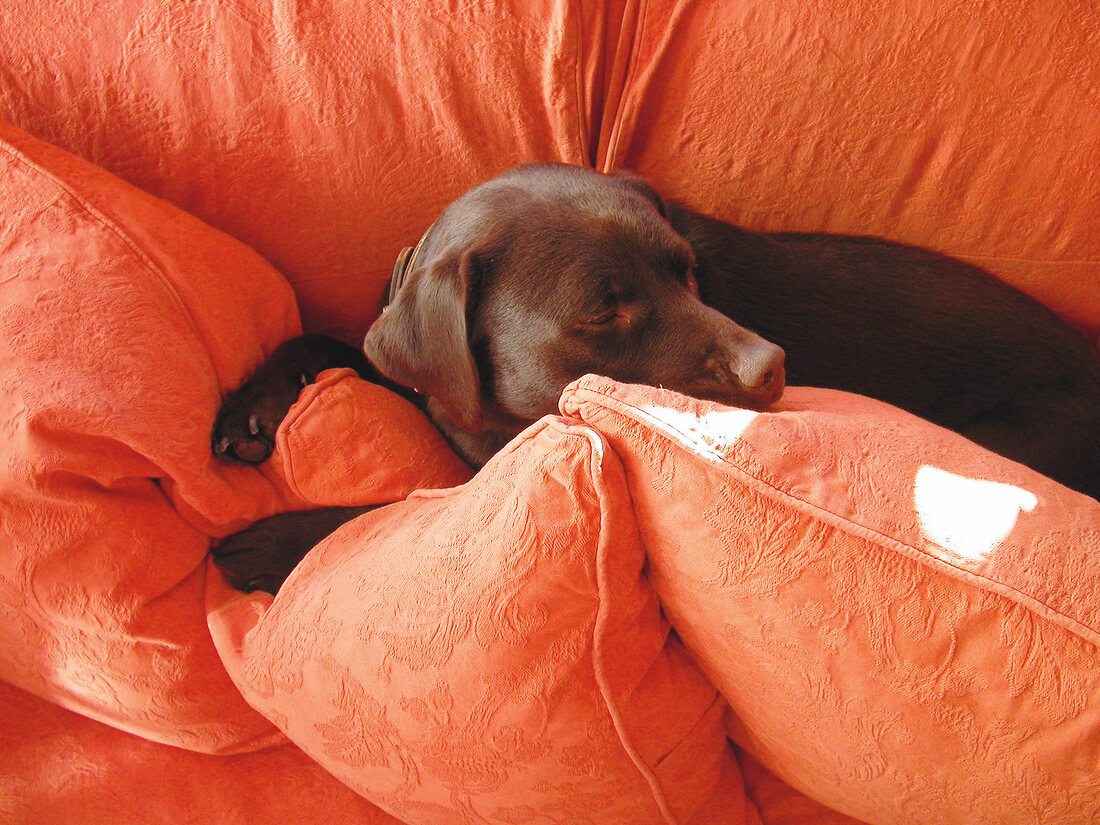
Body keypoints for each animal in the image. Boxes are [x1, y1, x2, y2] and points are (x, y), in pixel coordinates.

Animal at [212, 159, 1100, 594]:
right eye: (604, 310)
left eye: (687, 271)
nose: (773, 365)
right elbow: (328, 336)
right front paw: (250, 406)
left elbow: (382, 511)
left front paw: (272, 542)